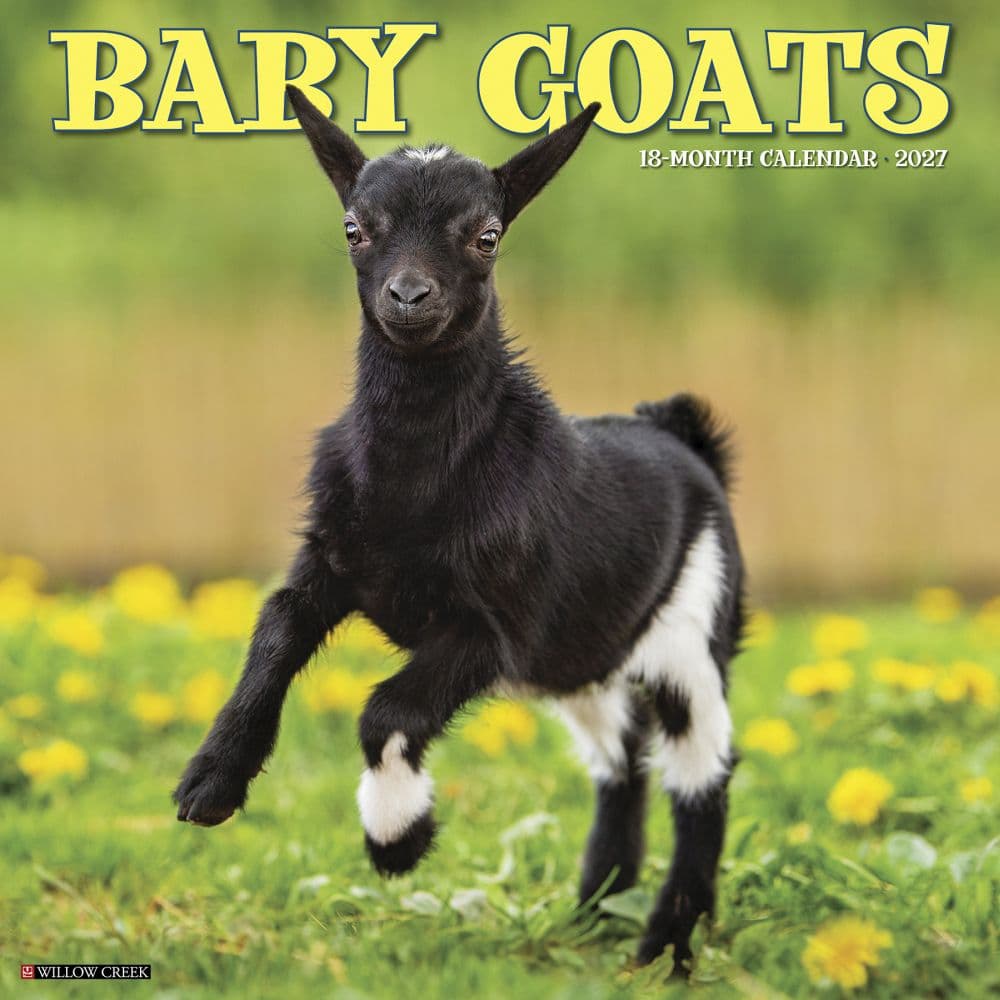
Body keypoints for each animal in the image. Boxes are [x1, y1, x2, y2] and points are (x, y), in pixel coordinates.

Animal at [173, 85, 745, 972]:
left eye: (487, 236)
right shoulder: (331, 563)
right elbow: (274, 632)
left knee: (702, 776)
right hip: (584, 661)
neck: (413, 484)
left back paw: (666, 942)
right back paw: (596, 906)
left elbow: (387, 711)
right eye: (354, 227)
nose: (410, 297)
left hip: (693, 630)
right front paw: (209, 784)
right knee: (621, 763)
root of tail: (680, 432)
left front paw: (397, 841)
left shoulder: (494, 626)